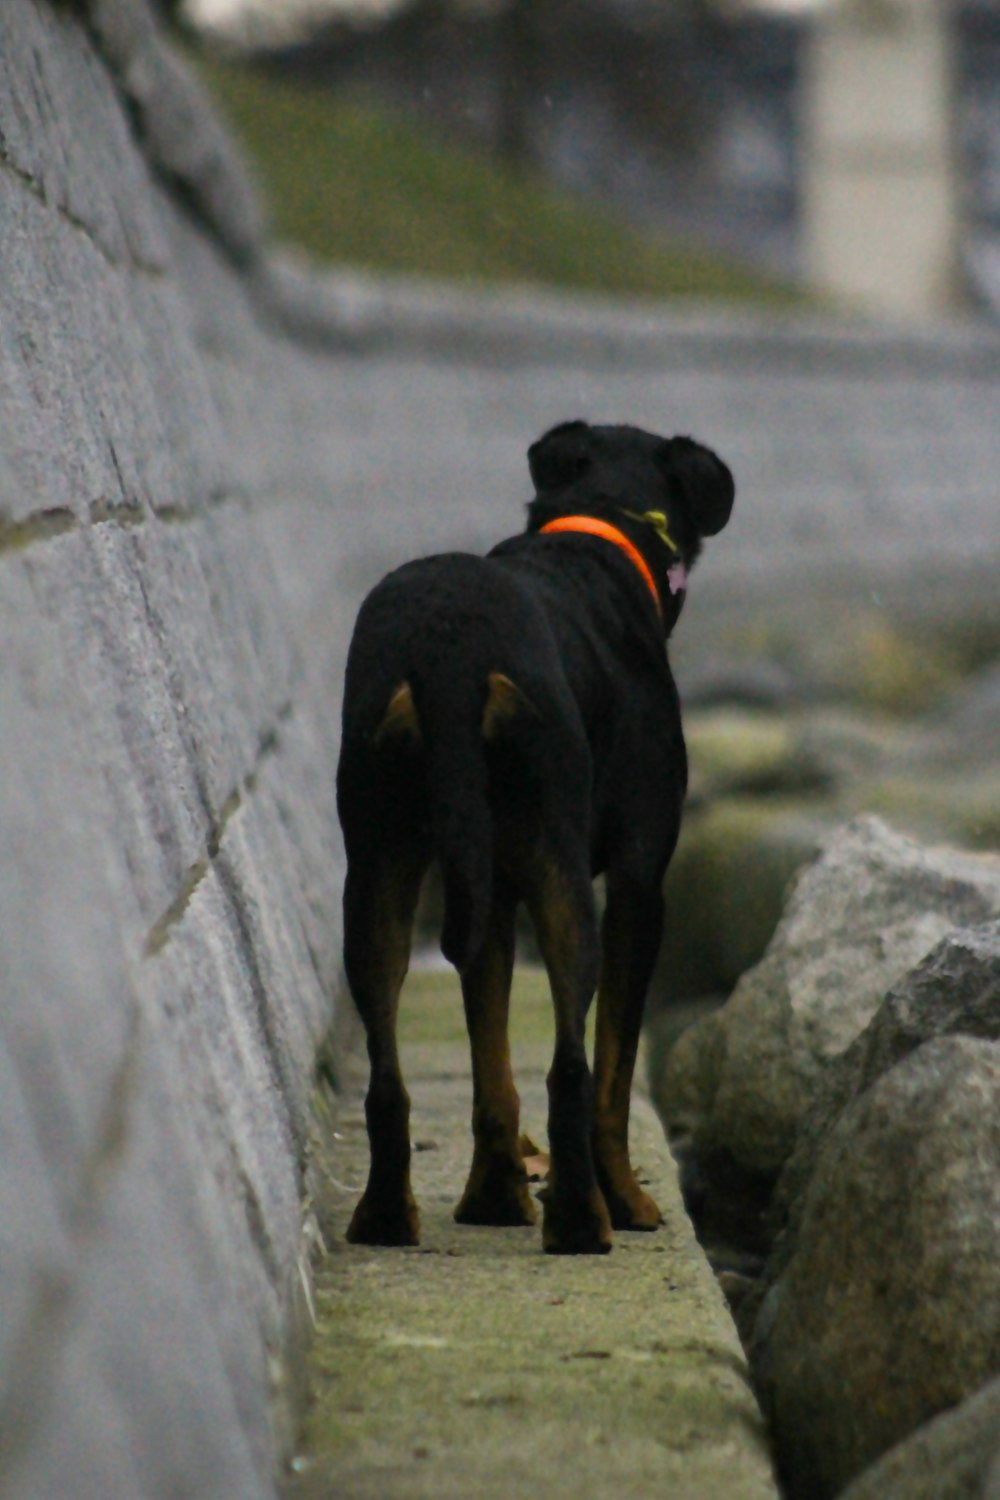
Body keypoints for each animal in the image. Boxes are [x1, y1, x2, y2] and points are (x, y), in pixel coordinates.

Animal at [335, 423, 734, 1254]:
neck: (602, 523)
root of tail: (447, 651)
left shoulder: (492, 885)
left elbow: (491, 1057)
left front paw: (494, 1196)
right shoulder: (640, 883)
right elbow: (613, 1061)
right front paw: (626, 1201)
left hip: (380, 859)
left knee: (387, 1074)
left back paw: (389, 1217)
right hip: (559, 865)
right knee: (572, 1067)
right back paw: (585, 1220)